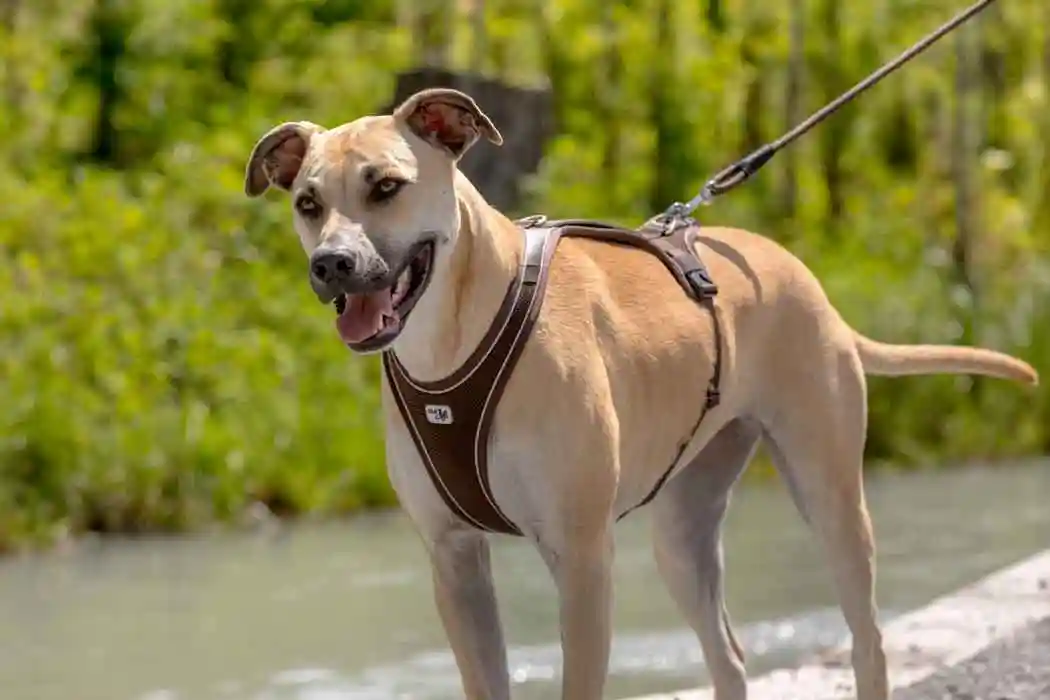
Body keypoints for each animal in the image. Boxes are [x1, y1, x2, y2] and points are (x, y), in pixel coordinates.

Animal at [241, 87, 1037, 700]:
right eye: (307, 201)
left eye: (385, 186)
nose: (331, 264)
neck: (456, 338)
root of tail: (802, 276)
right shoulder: (454, 561)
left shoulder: (582, 558)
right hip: (682, 535)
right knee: (729, 658)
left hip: (831, 498)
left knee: (866, 639)